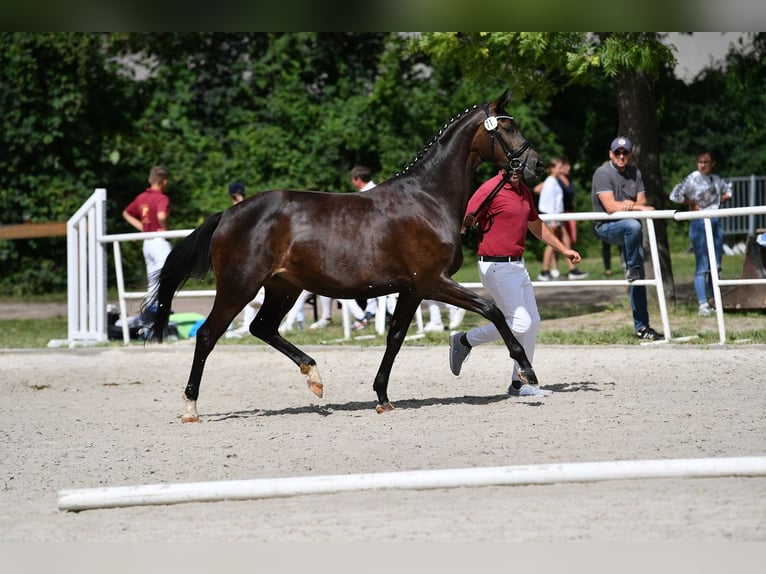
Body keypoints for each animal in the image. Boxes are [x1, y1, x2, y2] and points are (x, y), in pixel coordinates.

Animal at [149, 89, 544, 422]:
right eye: (507, 127)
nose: (536, 165)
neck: (428, 198)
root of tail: (227, 215)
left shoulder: (411, 290)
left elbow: (395, 339)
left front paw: (382, 397)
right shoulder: (433, 282)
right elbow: (493, 310)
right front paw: (527, 371)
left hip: (283, 288)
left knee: (262, 327)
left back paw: (314, 376)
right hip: (239, 287)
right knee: (207, 335)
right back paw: (190, 407)